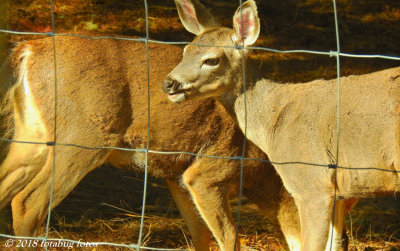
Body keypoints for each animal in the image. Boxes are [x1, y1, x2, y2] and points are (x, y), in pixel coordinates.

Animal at [0, 34, 304, 249]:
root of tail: (29, 50)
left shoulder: (178, 175)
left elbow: (200, 236)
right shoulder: (207, 171)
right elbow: (230, 239)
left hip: (31, 135)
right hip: (83, 137)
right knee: (27, 202)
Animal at [162, 0, 400, 250]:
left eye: (211, 60)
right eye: (185, 51)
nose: (169, 83)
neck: (274, 122)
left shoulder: (312, 183)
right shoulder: (337, 193)